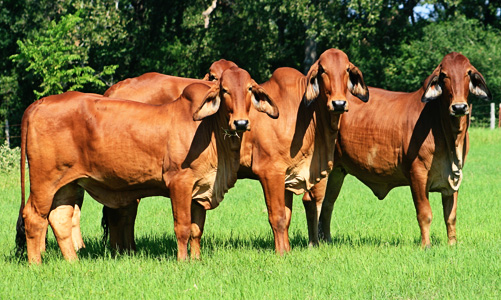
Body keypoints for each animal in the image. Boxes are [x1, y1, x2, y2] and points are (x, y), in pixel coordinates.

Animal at [17, 67, 280, 264]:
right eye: (224, 90)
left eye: (249, 89)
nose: (241, 122)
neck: (210, 131)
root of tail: (38, 104)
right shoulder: (179, 183)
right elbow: (183, 227)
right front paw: (183, 261)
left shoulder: (201, 187)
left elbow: (197, 230)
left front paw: (196, 259)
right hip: (44, 181)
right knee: (34, 217)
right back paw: (35, 264)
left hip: (67, 185)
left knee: (60, 218)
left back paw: (74, 262)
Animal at [306, 52, 490, 248]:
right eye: (444, 75)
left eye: (468, 73)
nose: (459, 107)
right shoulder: (417, 174)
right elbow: (425, 213)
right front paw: (426, 245)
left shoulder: (452, 180)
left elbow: (451, 216)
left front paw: (452, 245)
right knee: (311, 201)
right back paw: (313, 243)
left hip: (337, 171)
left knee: (327, 205)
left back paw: (327, 240)